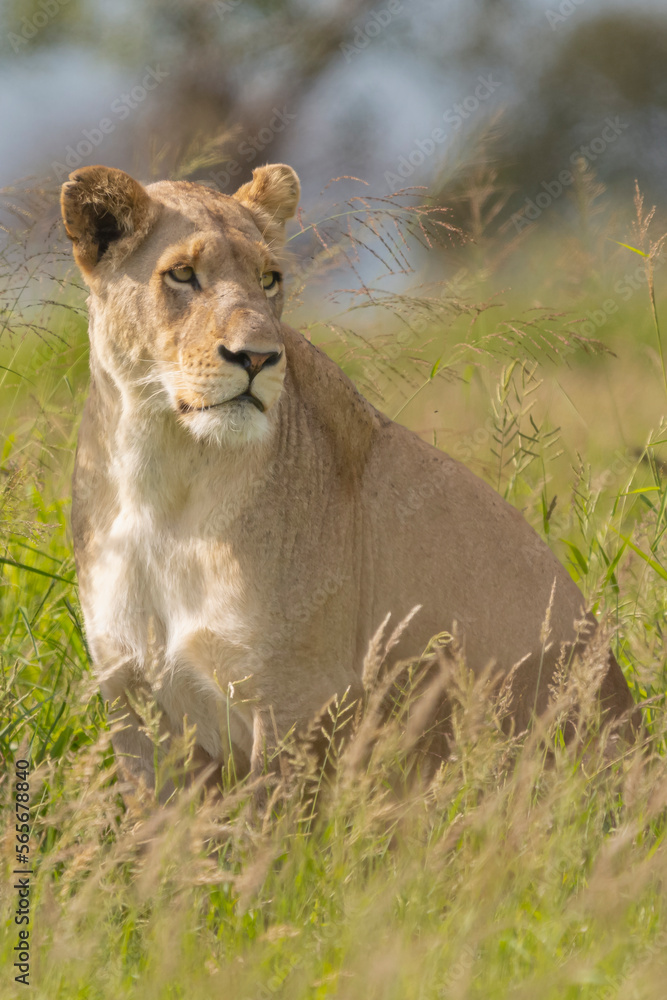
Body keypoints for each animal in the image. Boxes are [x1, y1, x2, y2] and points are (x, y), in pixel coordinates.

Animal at [60, 163, 637, 798]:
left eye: (269, 279)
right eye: (182, 274)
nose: (258, 358)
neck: (164, 476)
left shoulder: (298, 699)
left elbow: (276, 821)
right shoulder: (133, 707)